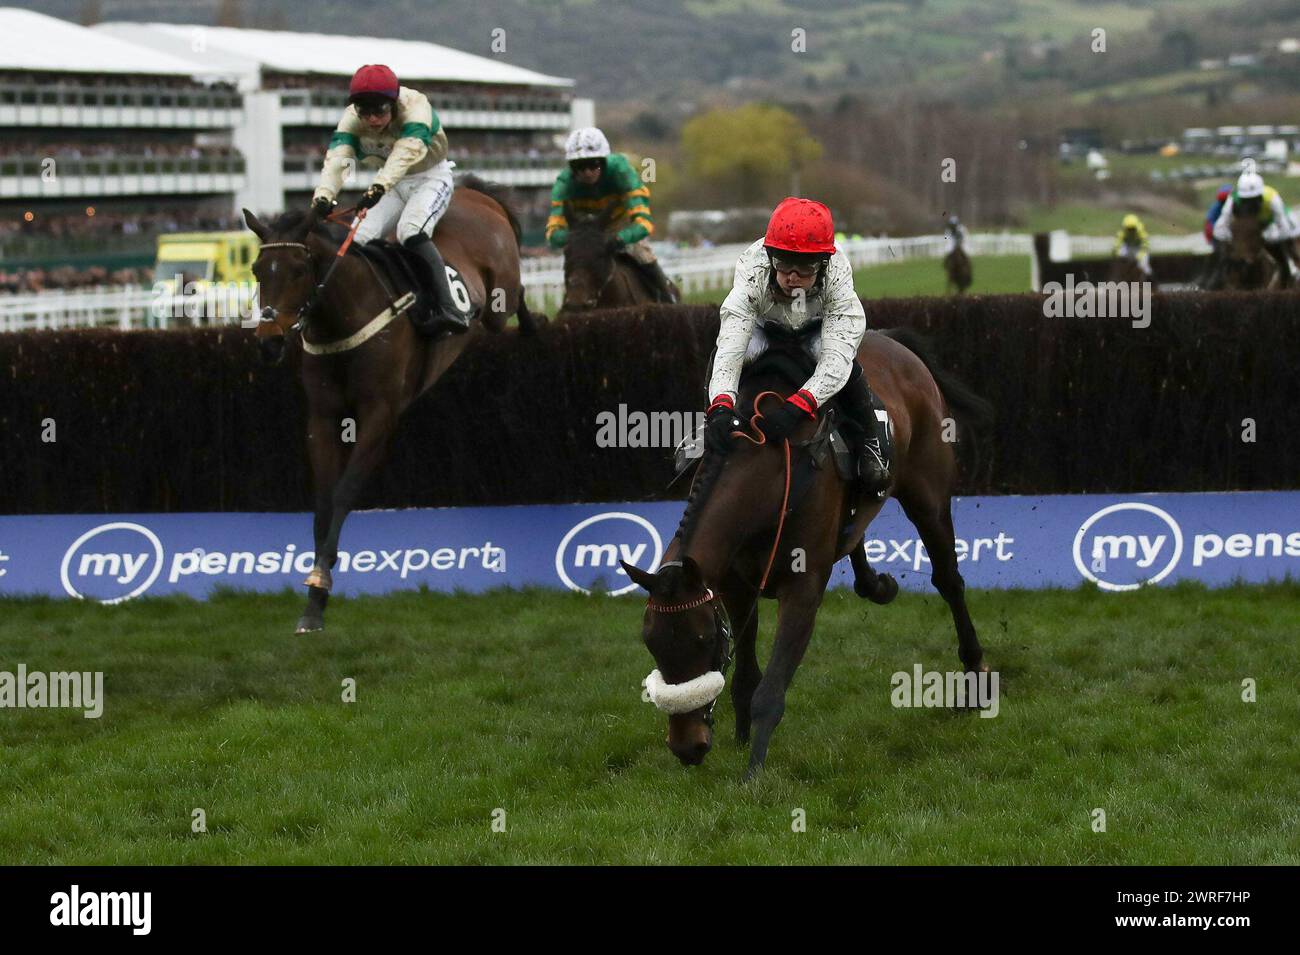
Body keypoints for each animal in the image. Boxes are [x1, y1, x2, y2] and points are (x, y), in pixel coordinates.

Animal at [624, 197, 987, 779]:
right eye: (653, 643)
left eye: (702, 639)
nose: (686, 747)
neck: (767, 479)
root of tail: (899, 346)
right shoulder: (736, 583)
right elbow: (747, 675)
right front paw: (739, 736)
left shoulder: (803, 586)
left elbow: (771, 687)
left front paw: (752, 773)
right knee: (856, 533)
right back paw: (876, 583)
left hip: (928, 490)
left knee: (949, 579)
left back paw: (973, 676)